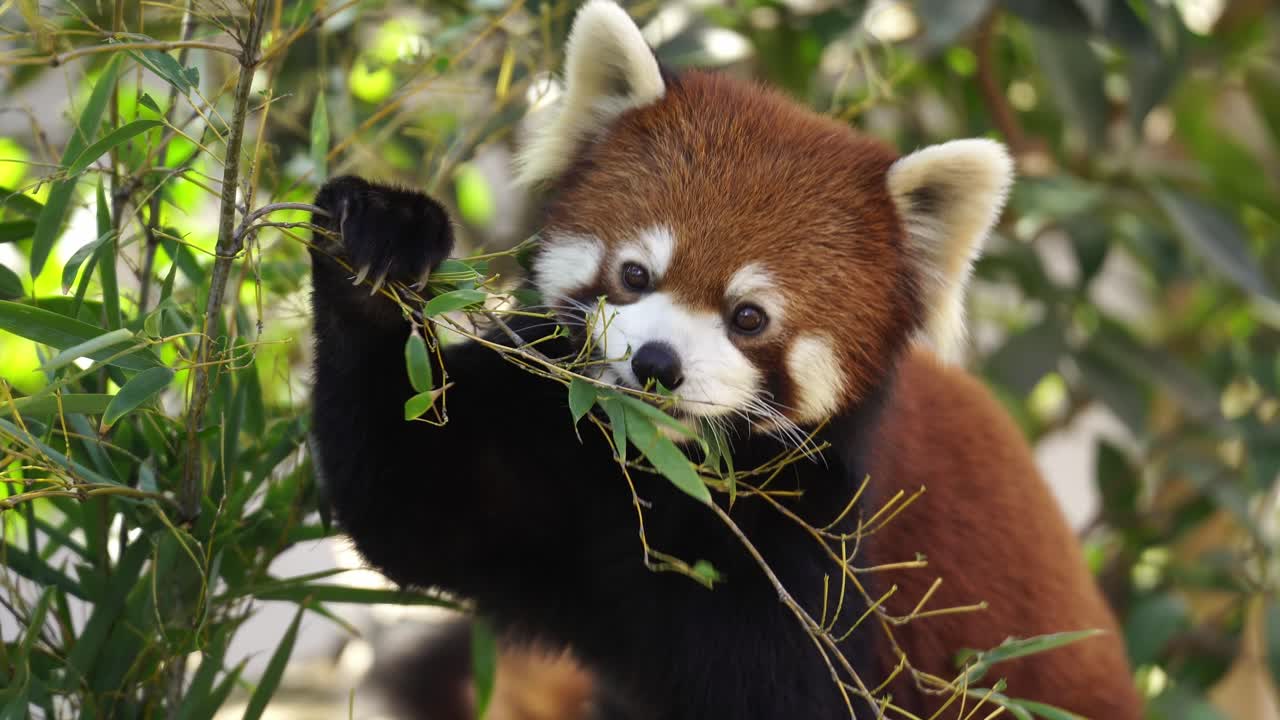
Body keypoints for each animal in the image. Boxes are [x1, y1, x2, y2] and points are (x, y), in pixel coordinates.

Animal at [308, 2, 1142, 718]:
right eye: (634, 274)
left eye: (749, 318)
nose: (656, 364)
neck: (658, 469)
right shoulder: (545, 439)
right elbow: (408, 504)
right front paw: (379, 240)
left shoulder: (822, 551)